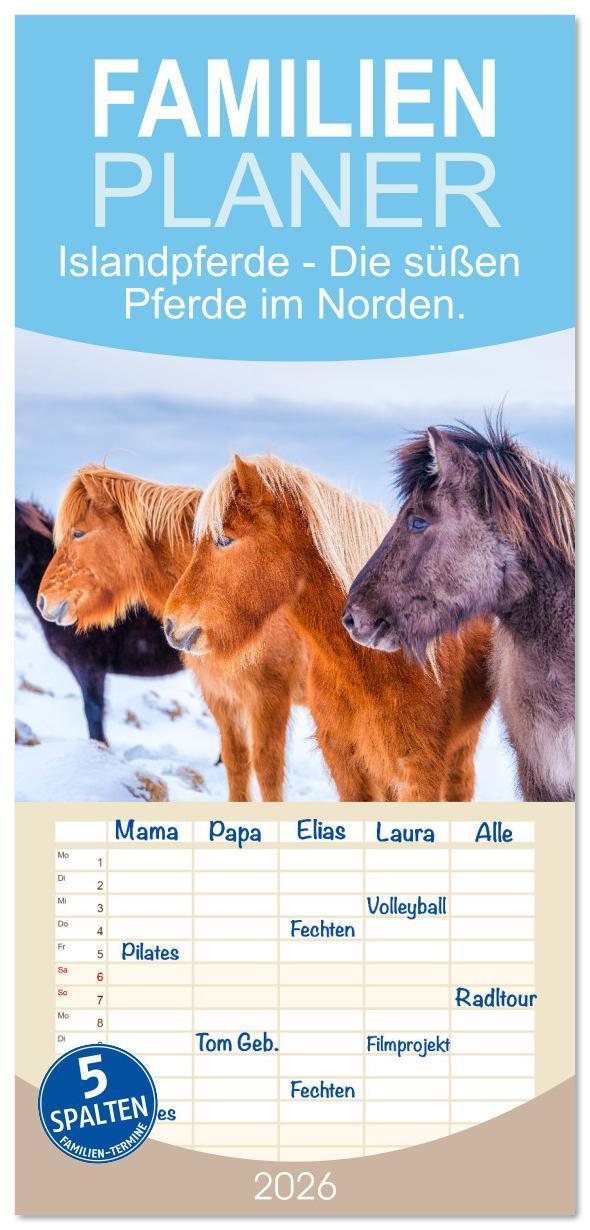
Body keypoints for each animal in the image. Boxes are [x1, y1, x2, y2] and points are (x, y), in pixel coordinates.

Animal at [36, 467, 307, 801]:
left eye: (78, 533)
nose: (44, 600)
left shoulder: (269, 698)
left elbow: (268, 771)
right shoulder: (221, 697)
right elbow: (236, 762)